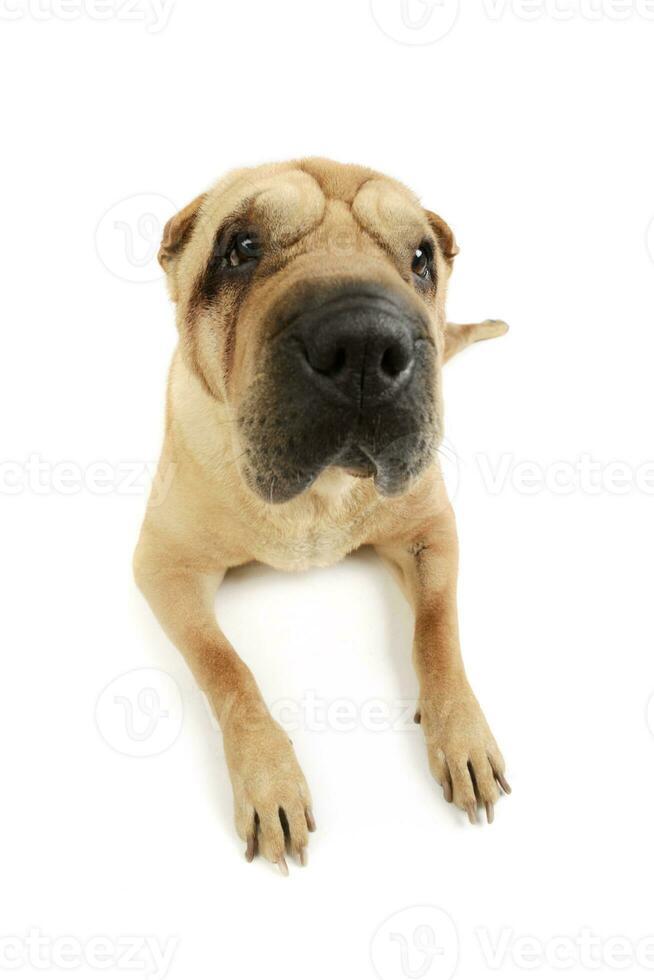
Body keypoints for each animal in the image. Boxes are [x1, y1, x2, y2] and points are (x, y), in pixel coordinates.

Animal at [133, 155, 512, 872]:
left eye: (420, 257)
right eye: (240, 247)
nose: (364, 344)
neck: (320, 494)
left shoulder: (430, 531)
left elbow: (438, 630)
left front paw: (463, 734)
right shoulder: (163, 566)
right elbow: (226, 667)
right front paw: (269, 779)